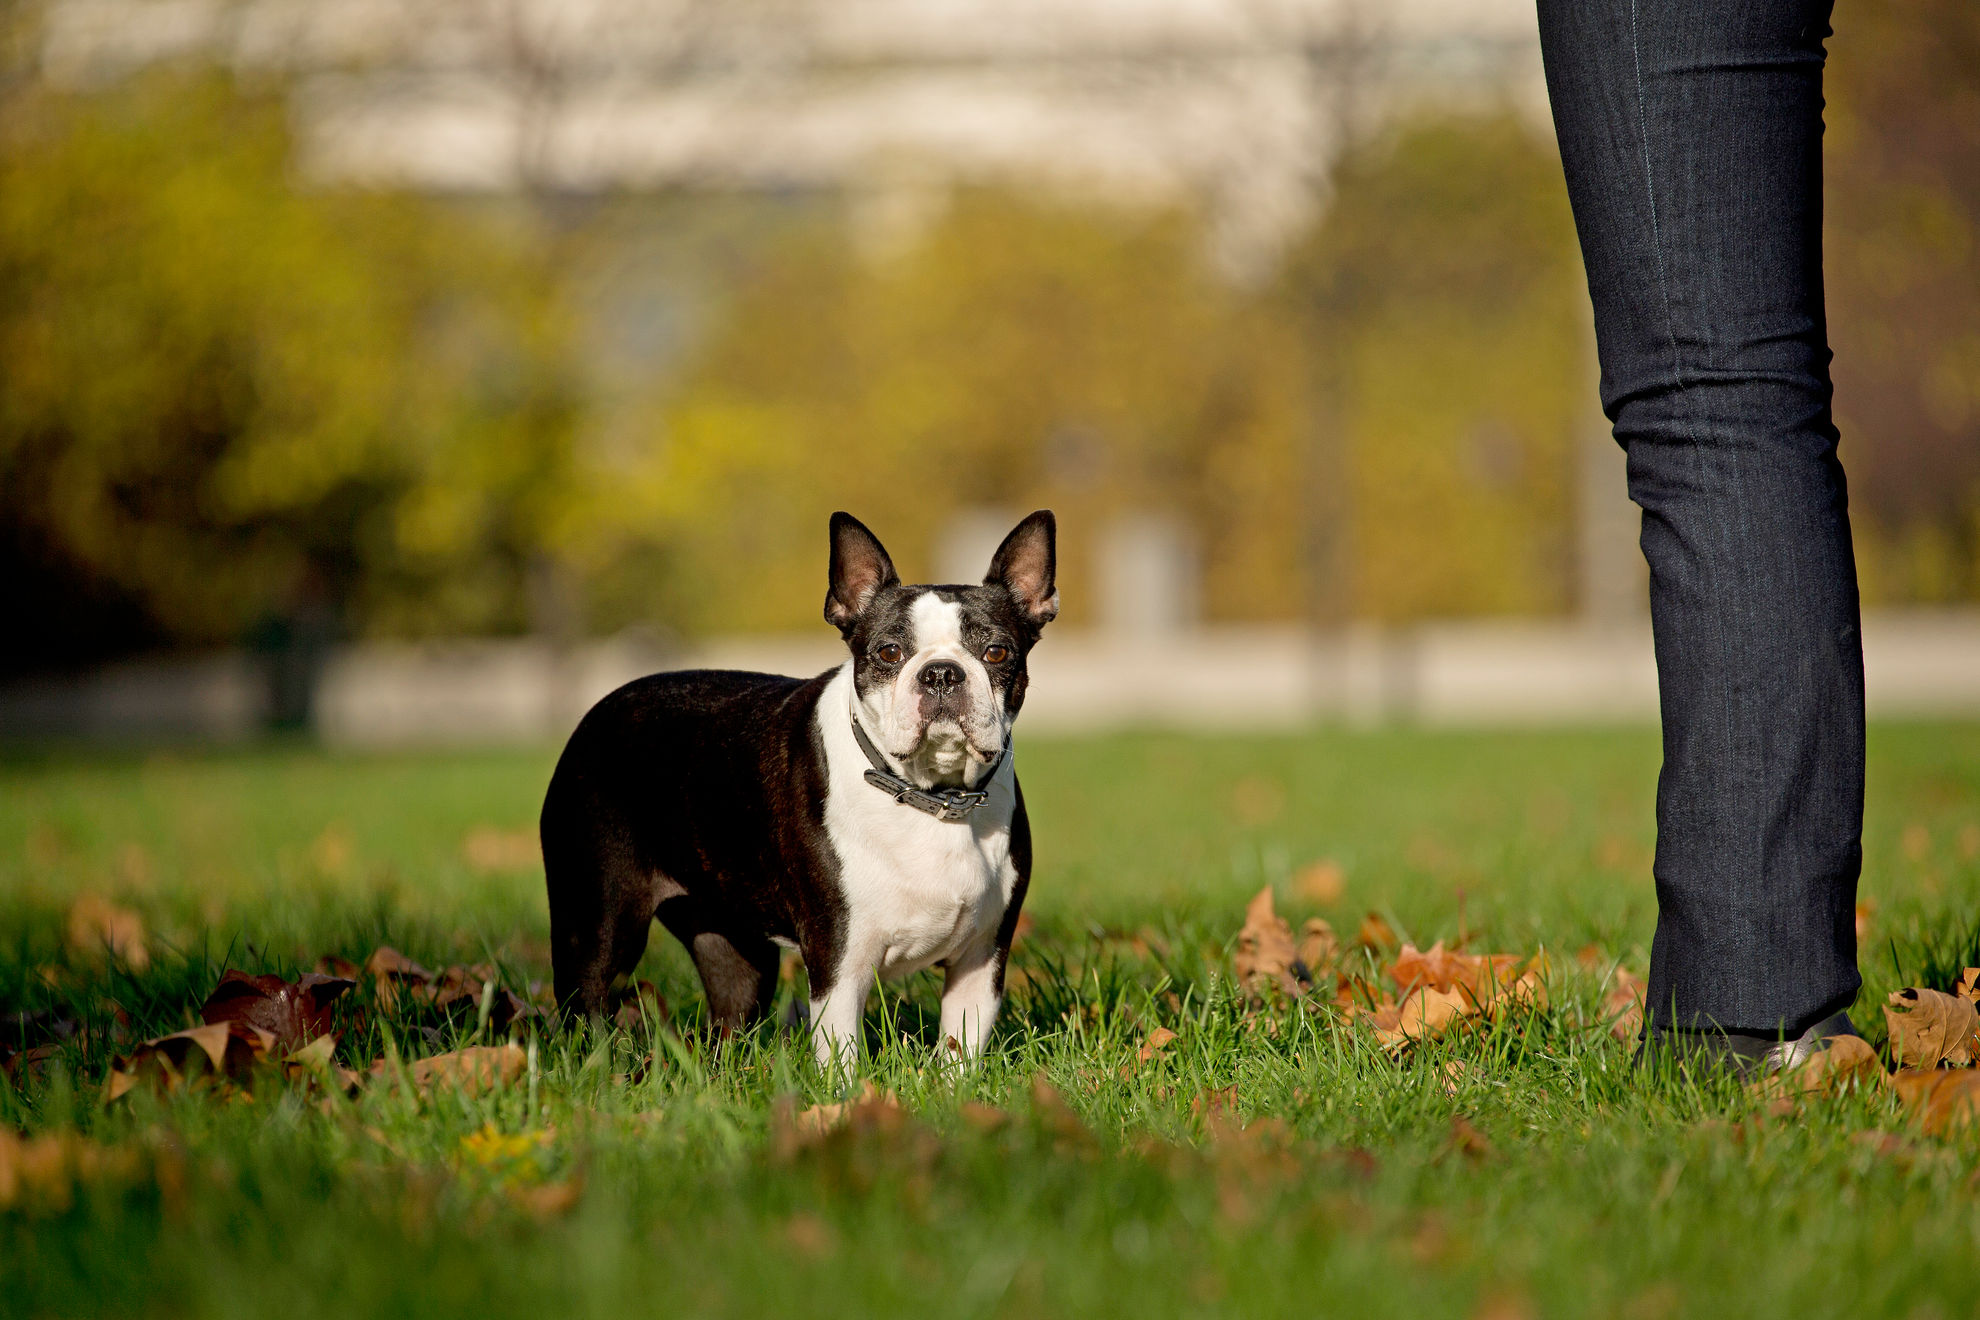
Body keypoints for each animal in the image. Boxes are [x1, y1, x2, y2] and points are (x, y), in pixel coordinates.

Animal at [542, 510, 1053, 1076]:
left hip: (735, 948)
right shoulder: (839, 960)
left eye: (997, 651)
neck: (932, 798)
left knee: (729, 1014)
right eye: (889, 652)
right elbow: (842, 1056)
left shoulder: (981, 960)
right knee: (586, 1005)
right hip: (599, 926)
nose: (941, 672)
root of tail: (597, 711)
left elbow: (959, 1052)